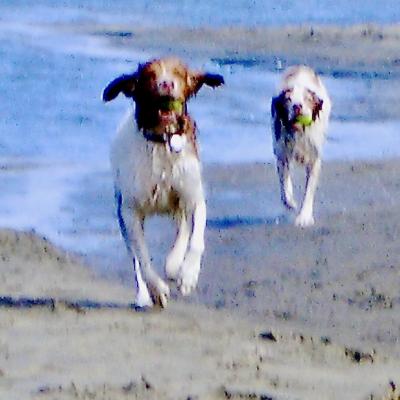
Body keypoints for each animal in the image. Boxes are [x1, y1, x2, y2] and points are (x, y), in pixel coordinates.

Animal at [101, 57, 223, 310]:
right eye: (150, 75)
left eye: (178, 73)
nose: (166, 84)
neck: (162, 141)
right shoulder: (131, 211)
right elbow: (143, 259)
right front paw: (157, 290)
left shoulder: (193, 198)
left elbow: (194, 240)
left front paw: (186, 274)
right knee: (135, 259)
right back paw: (143, 296)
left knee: (183, 229)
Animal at [272, 67, 332, 227]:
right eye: (289, 99)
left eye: (306, 99)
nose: (297, 106)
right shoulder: (282, 154)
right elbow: (284, 184)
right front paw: (290, 202)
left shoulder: (314, 160)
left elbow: (309, 191)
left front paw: (304, 217)